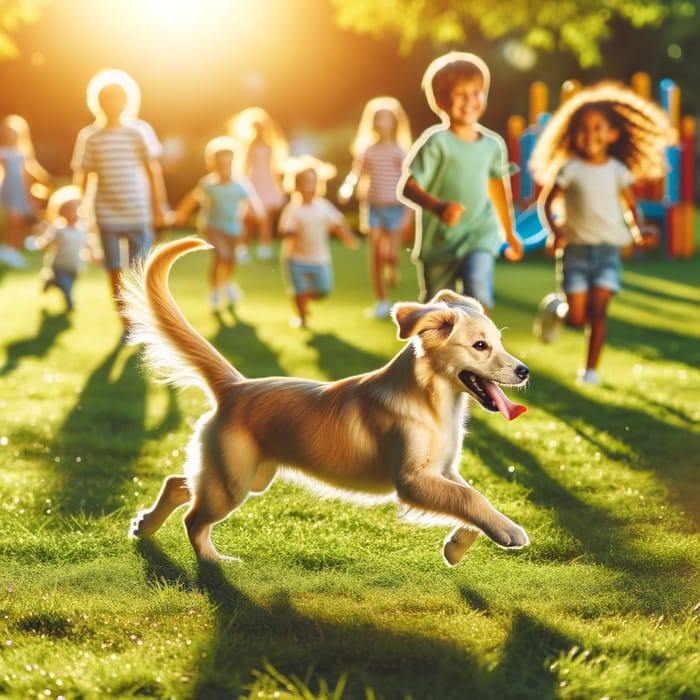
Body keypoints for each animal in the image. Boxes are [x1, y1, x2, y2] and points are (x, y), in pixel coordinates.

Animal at [124, 238, 532, 568]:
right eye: (480, 346)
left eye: (499, 341)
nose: (525, 370)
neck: (433, 404)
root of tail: (235, 388)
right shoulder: (412, 480)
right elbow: (470, 498)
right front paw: (507, 530)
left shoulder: (443, 471)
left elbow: (471, 497)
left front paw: (456, 548)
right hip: (234, 482)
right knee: (193, 518)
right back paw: (213, 562)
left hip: (243, 475)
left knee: (179, 483)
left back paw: (145, 525)